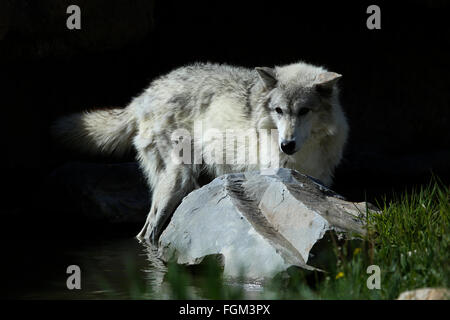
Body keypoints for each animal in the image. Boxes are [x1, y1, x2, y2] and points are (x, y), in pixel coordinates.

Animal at [52, 62, 348, 242]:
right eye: (279, 111)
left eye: (304, 111)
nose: (286, 145)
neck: (305, 152)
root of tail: (144, 96)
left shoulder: (317, 179)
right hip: (177, 181)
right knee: (148, 232)